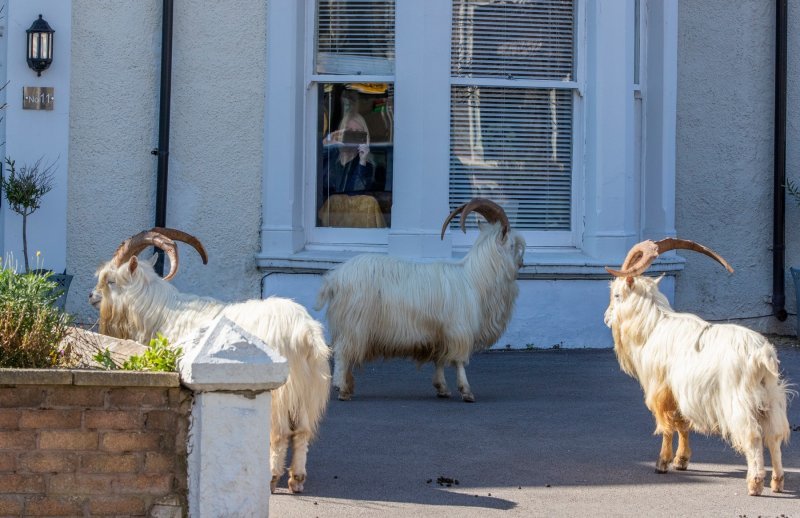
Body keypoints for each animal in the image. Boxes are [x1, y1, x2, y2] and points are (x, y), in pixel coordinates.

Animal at [91, 229, 332, 496]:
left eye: (110, 281)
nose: (92, 296)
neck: (160, 312)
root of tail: (304, 332)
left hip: (283, 390)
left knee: (280, 433)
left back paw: (271, 477)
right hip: (308, 388)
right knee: (302, 431)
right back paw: (296, 478)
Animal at [316, 197, 528, 404]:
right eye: (513, 245)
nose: (522, 262)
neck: (475, 278)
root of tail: (335, 278)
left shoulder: (440, 333)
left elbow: (440, 360)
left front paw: (442, 388)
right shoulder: (459, 329)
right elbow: (459, 361)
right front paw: (466, 391)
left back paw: (348, 386)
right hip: (354, 325)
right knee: (343, 353)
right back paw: (342, 388)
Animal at [604, 240, 792, 500]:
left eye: (617, 294)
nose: (606, 318)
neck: (653, 326)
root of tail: (761, 355)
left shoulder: (661, 389)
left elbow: (667, 426)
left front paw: (662, 463)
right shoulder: (680, 392)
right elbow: (682, 423)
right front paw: (681, 460)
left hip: (740, 400)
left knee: (753, 436)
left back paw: (755, 483)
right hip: (771, 398)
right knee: (774, 435)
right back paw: (777, 481)